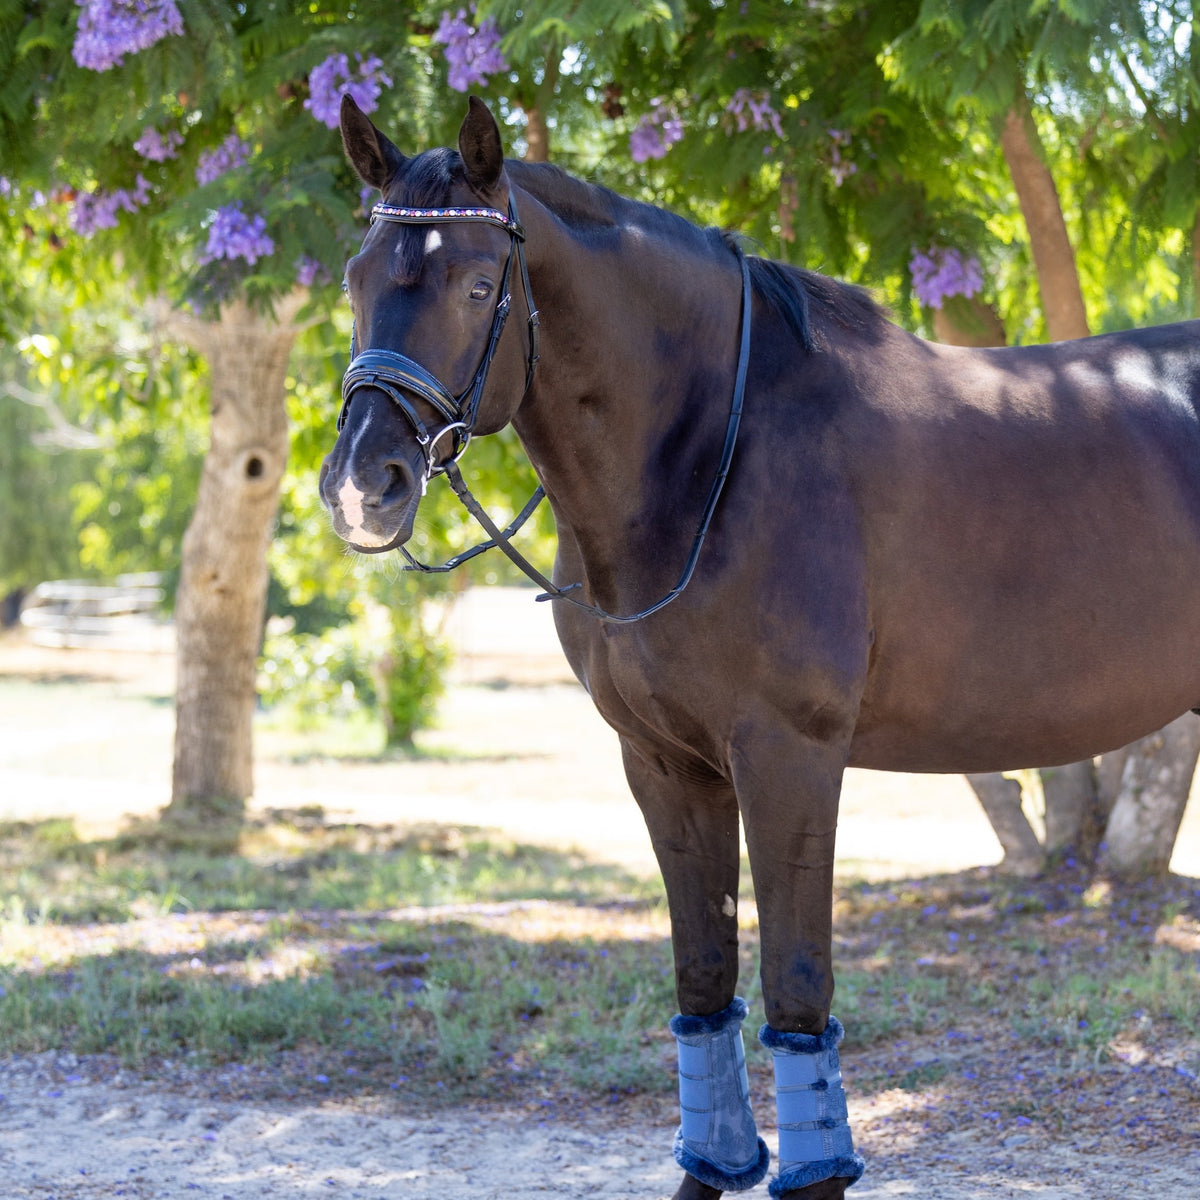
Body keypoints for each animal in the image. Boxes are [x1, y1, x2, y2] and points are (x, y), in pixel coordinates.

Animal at [319, 96, 1200, 1200]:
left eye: (480, 285)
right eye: (356, 278)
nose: (365, 482)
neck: (710, 454)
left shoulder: (789, 754)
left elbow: (795, 986)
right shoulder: (664, 763)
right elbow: (705, 978)